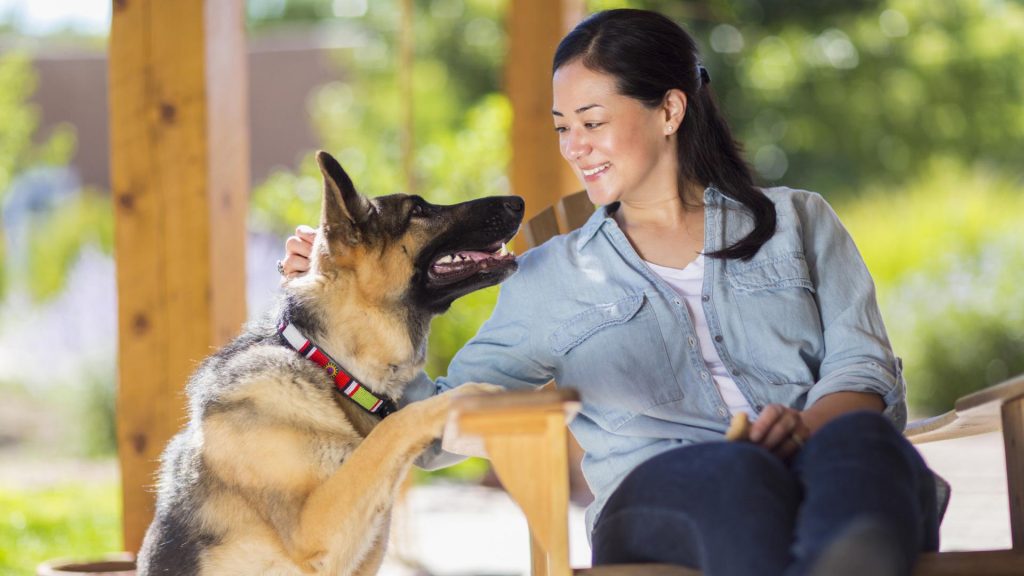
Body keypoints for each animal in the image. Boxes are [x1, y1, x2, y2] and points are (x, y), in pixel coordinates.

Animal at [140, 150, 524, 569]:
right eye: (418, 210)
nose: (518, 201)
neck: (330, 366)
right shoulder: (313, 530)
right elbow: (397, 425)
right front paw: (470, 394)